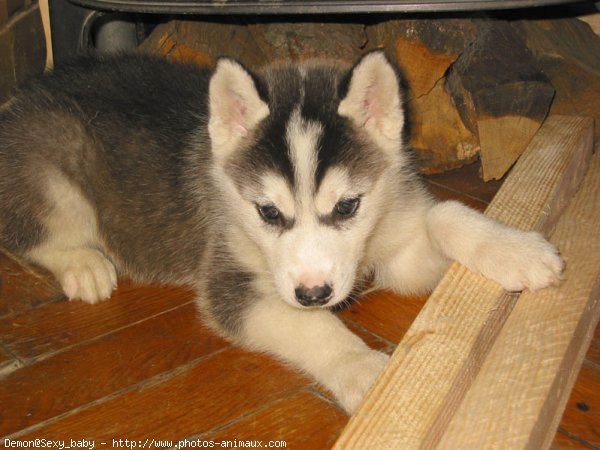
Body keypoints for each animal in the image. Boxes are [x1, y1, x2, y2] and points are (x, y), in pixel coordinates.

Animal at [0, 51, 564, 414]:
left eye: (348, 206)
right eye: (268, 213)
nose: (314, 293)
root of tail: (19, 96)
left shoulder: (395, 238)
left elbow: (445, 215)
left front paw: (515, 249)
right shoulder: (230, 281)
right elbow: (312, 328)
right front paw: (365, 369)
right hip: (55, 168)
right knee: (27, 232)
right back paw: (83, 264)